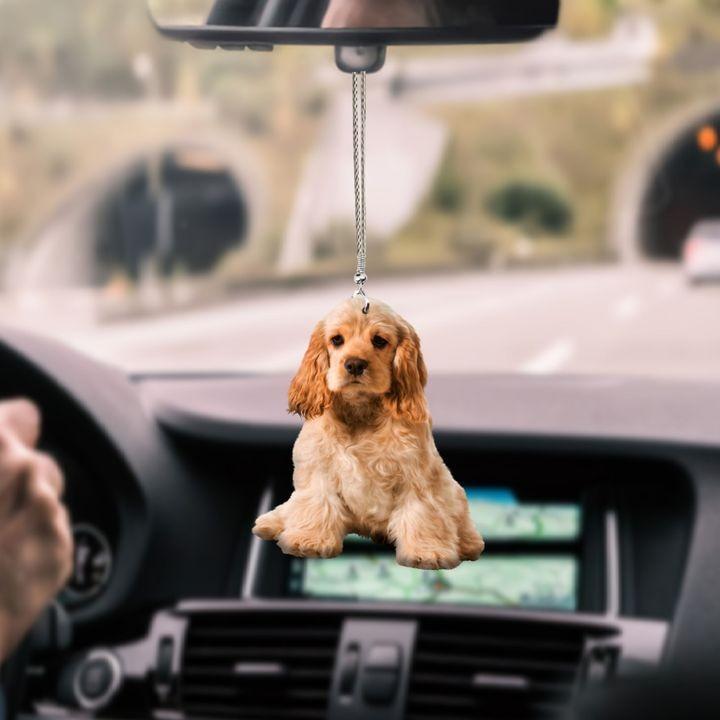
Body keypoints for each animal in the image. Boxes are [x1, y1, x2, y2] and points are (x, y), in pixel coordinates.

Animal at [253, 296, 484, 568]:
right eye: (336, 340)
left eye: (379, 341)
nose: (354, 364)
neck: (360, 411)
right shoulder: (318, 468)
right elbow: (317, 504)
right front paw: (309, 539)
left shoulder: (415, 477)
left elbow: (421, 514)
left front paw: (427, 552)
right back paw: (269, 522)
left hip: (453, 491)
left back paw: (470, 543)